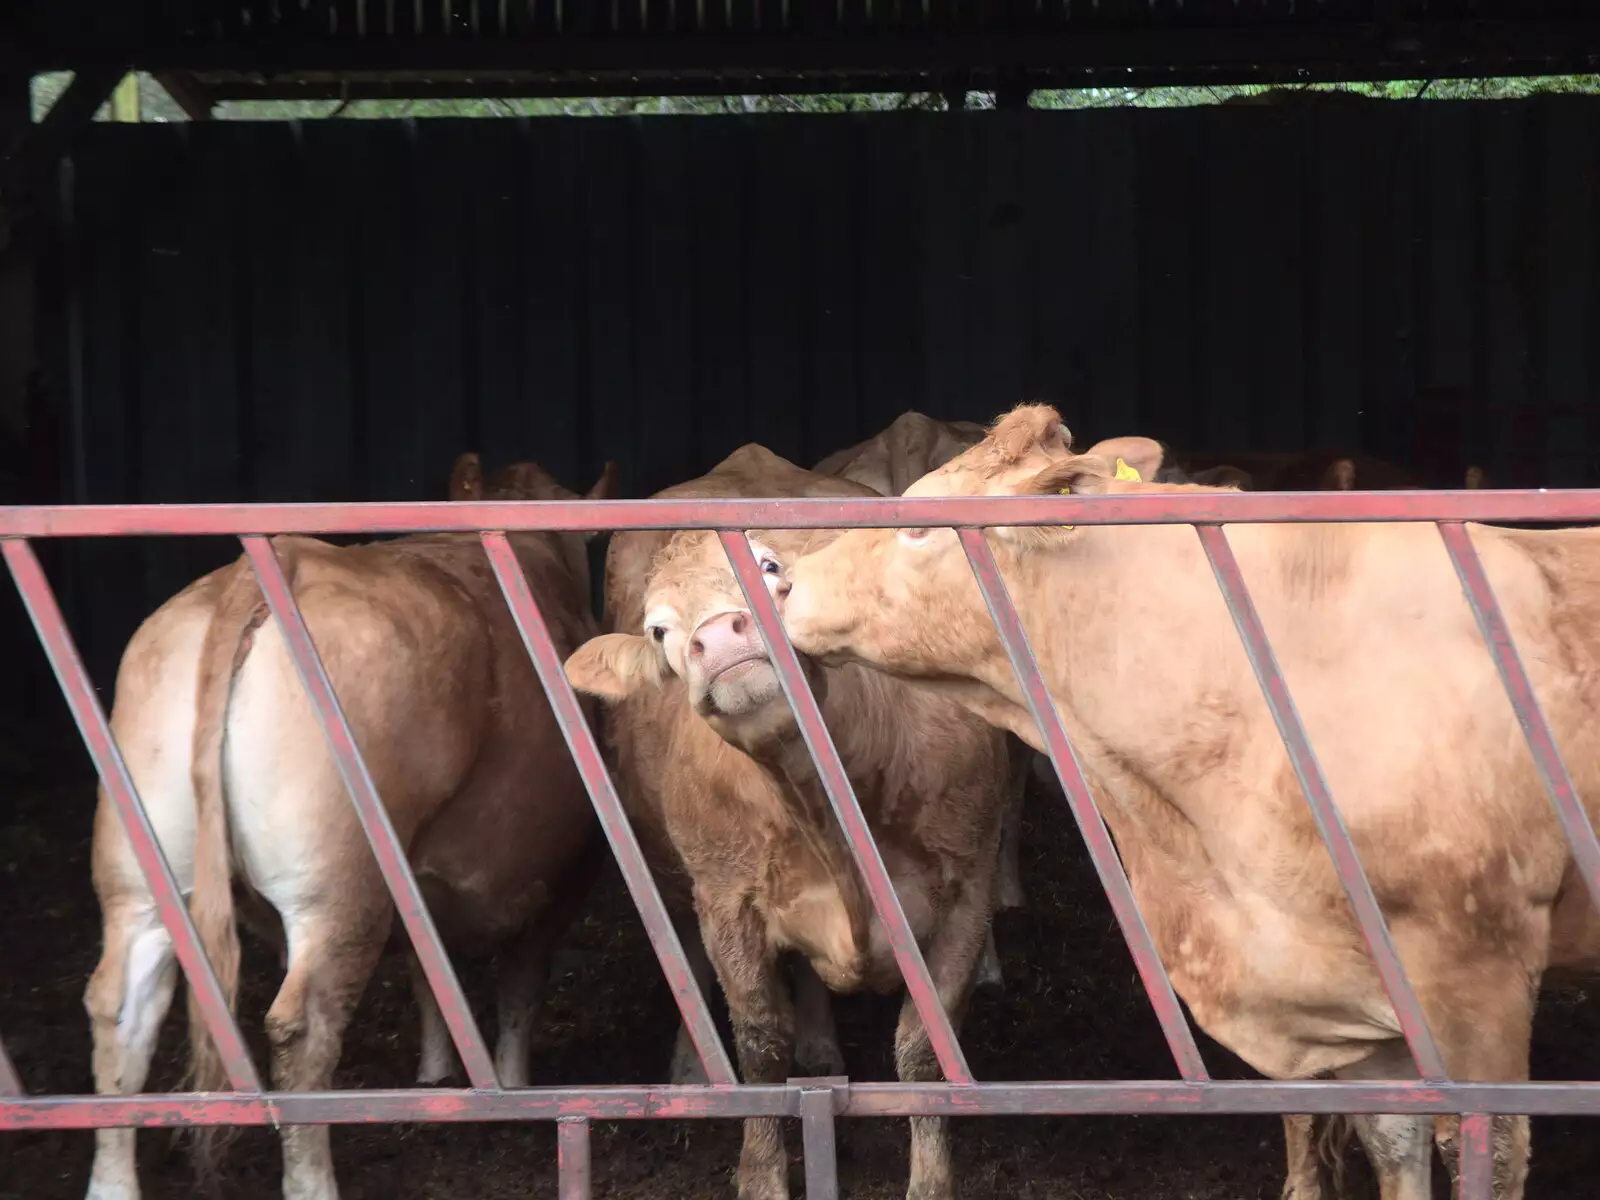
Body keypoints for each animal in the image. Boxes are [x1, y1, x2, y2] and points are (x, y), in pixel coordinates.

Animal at [82, 454, 617, 1200]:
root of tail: (266, 568)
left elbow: (430, 970)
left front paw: (436, 1072)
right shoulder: (563, 869)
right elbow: (518, 984)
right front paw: (513, 1085)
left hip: (140, 878)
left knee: (119, 1007)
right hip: (338, 884)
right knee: (301, 1027)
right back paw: (313, 1180)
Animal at [569, 444, 1004, 1200]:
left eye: (769, 568)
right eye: (660, 630)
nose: (717, 635)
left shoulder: (968, 888)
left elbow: (926, 1051)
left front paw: (930, 1181)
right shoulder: (727, 902)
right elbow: (760, 1049)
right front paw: (761, 1174)